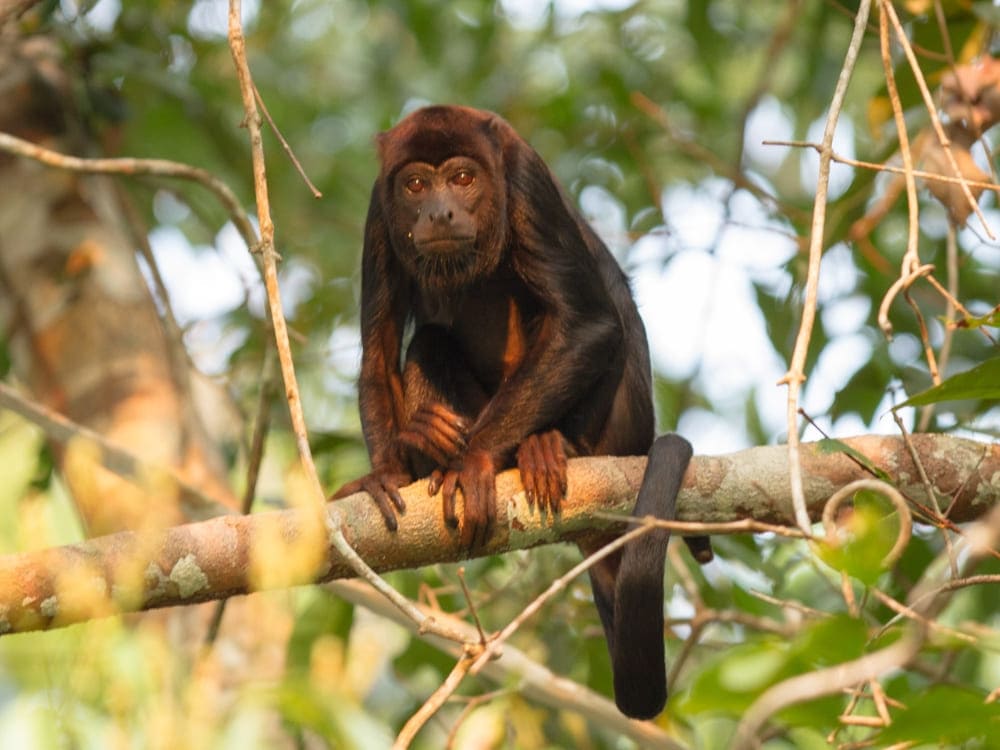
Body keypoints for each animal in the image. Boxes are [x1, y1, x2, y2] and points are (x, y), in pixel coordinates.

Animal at [332, 106, 708, 724]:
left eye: (463, 178)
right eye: (416, 185)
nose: (439, 211)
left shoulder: (525, 177)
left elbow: (590, 323)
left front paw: (475, 462)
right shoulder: (376, 214)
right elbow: (380, 350)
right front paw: (388, 472)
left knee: (607, 305)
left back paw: (549, 447)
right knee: (428, 340)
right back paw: (428, 447)